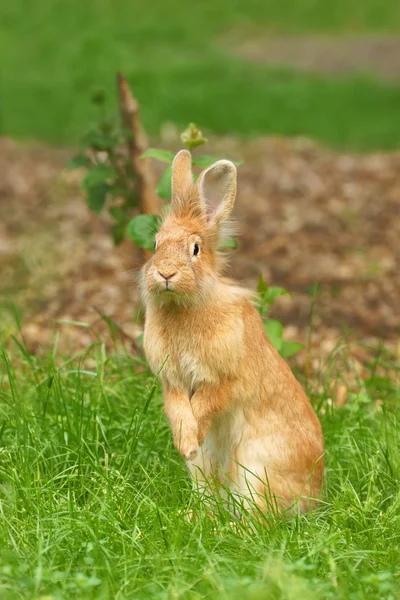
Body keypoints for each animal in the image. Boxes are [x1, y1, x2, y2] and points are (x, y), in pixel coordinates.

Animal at [141, 150, 324, 516]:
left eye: (195, 248)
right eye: (155, 244)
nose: (165, 273)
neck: (183, 306)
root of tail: (314, 497)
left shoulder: (225, 379)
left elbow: (205, 404)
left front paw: (189, 440)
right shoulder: (173, 381)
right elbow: (178, 408)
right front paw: (185, 442)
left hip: (258, 470)